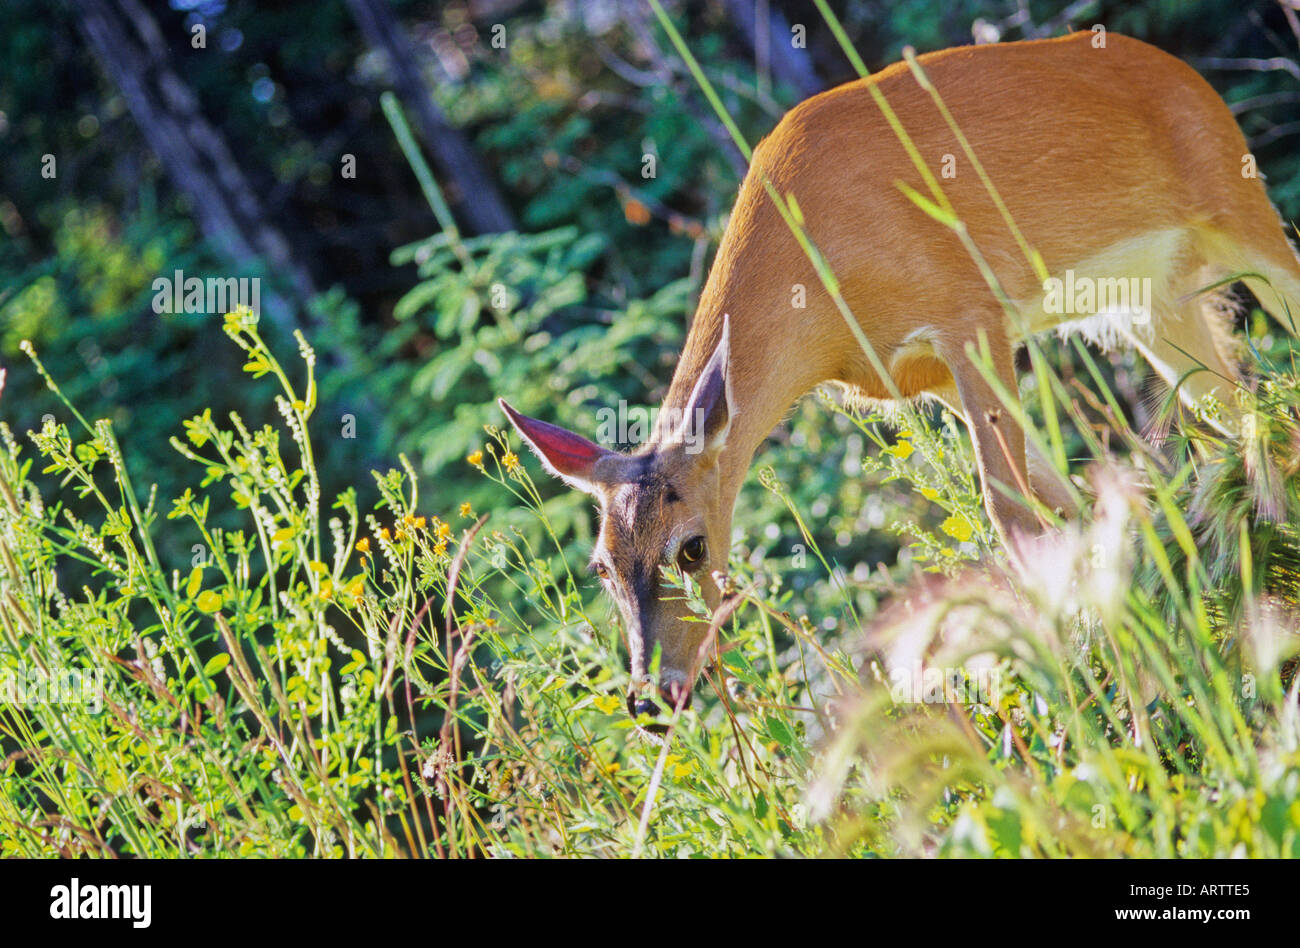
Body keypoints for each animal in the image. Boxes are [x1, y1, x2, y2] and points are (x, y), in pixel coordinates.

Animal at [496, 31, 1300, 723]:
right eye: (601, 565)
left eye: (691, 546)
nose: (650, 697)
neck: (816, 276)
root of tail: (1179, 70)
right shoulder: (922, 375)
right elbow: (1068, 506)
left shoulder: (971, 317)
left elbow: (1013, 515)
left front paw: (1103, 713)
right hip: (1152, 302)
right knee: (1241, 416)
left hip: (1243, 213)